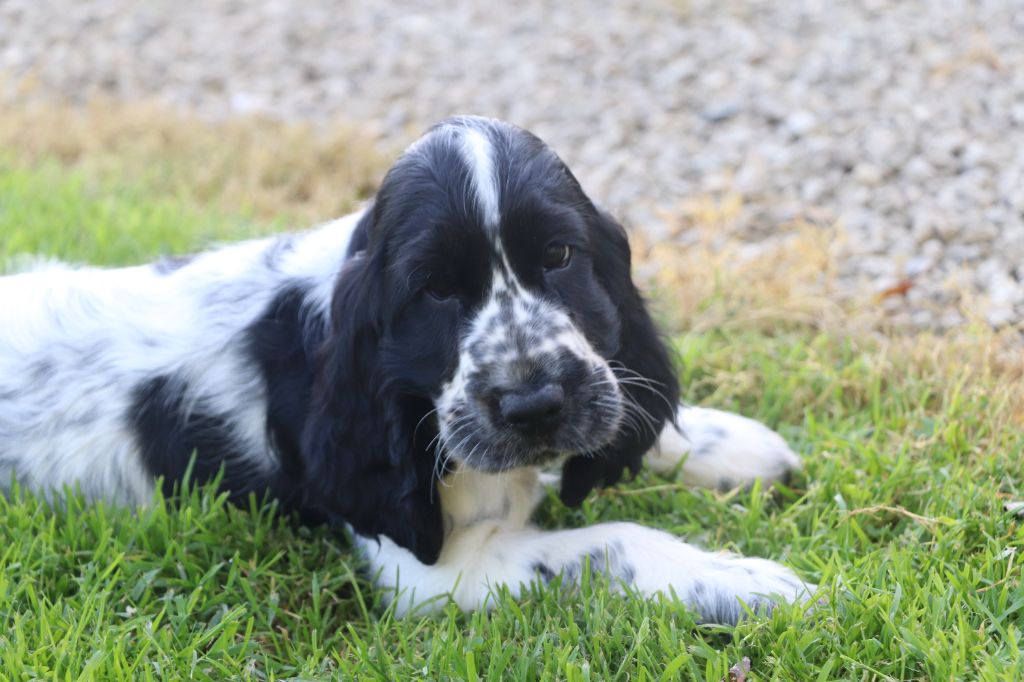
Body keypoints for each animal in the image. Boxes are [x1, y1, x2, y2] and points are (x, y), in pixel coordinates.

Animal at [2, 116, 815, 622]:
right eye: (435, 290)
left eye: (559, 255)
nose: (535, 406)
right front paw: (750, 582)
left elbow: (632, 413)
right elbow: (608, 543)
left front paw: (738, 446)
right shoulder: (438, 575)